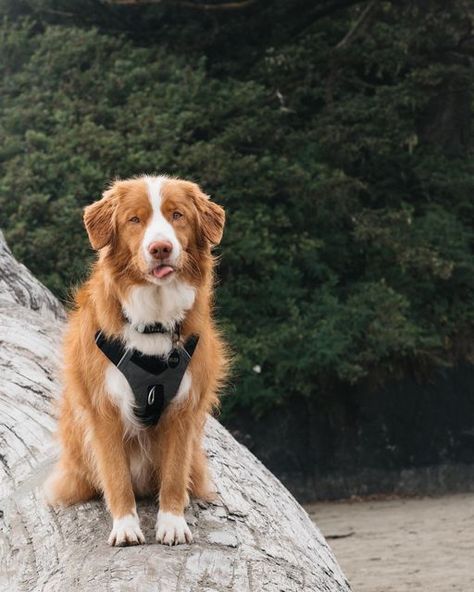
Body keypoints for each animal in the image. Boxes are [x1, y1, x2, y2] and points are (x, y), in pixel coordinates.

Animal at [45, 175, 228, 544]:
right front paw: (126, 527)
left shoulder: (183, 408)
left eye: (177, 215)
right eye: (134, 220)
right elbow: (115, 474)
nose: (160, 248)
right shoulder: (104, 408)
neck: (153, 321)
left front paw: (172, 522)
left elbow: (174, 473)